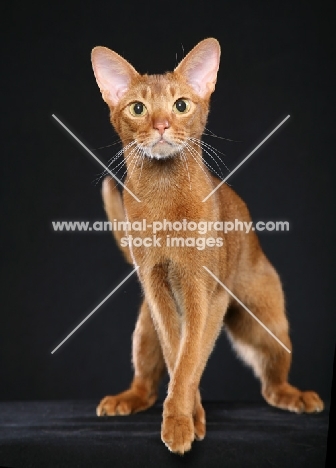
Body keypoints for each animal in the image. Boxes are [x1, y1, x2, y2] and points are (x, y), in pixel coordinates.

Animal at [90, 38, 324, 456]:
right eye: (138, 108)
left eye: (181, 105)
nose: (161, 125)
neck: (163, 197)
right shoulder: (157, 289)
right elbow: (177, 353)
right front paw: (188, 419)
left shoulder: (207, 293)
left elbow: (190, 359)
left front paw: (182, 423)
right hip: (144, 325)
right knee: (147, 379)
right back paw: (125, 400)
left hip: (266, 322)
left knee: (271, 383)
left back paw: (295, 396)